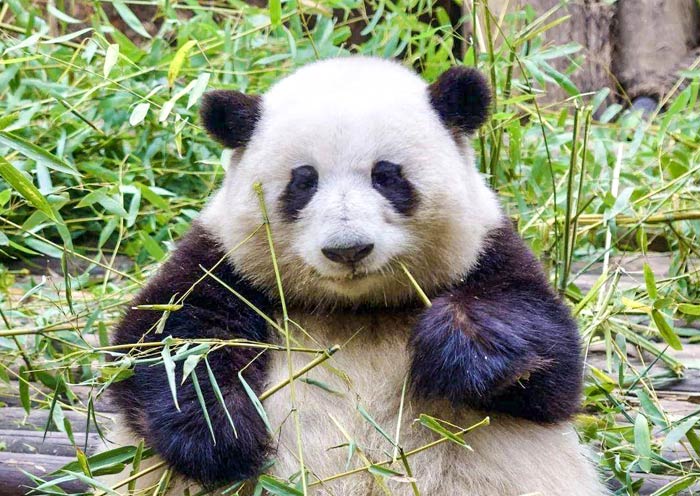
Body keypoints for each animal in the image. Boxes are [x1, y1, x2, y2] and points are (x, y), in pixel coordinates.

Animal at [106, 57, 607, 495]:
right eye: (303, 181)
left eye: (386, 175)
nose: (347, 250)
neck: (357, 308)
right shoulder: (225, 263)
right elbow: (167, 342)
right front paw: (220, 436)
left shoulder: (487, 250)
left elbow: (550, 362)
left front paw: (462, 347)